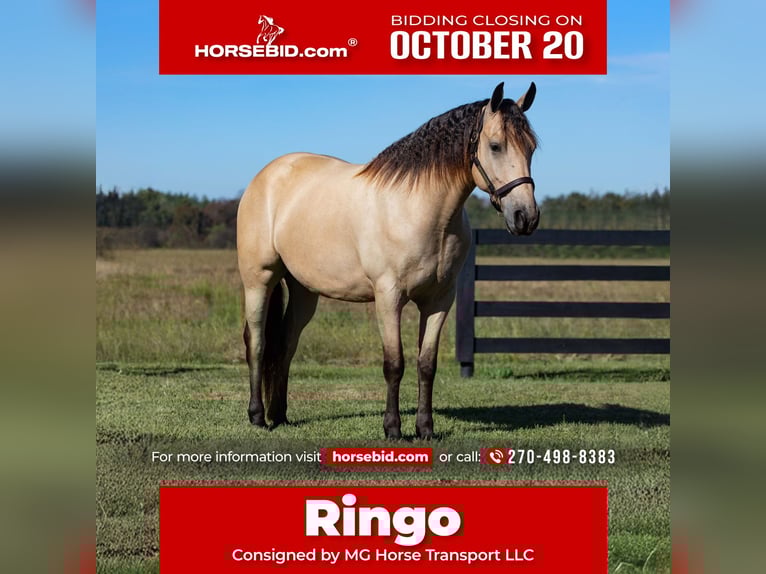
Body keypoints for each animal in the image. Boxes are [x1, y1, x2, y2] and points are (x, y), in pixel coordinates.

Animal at [237, 82, 540, 439]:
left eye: (531, 148)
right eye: (495, 146)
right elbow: (394, 364)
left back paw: (280, 415)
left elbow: (426, 364)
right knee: (257, 341)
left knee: (285, 344)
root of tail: (266, 175)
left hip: (303, 290)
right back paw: (258, 416)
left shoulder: (440, 300)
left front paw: (425, 428)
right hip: (259, 280)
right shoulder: (388, 298)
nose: (525, 217)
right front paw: (393, 428)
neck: (420, 210)